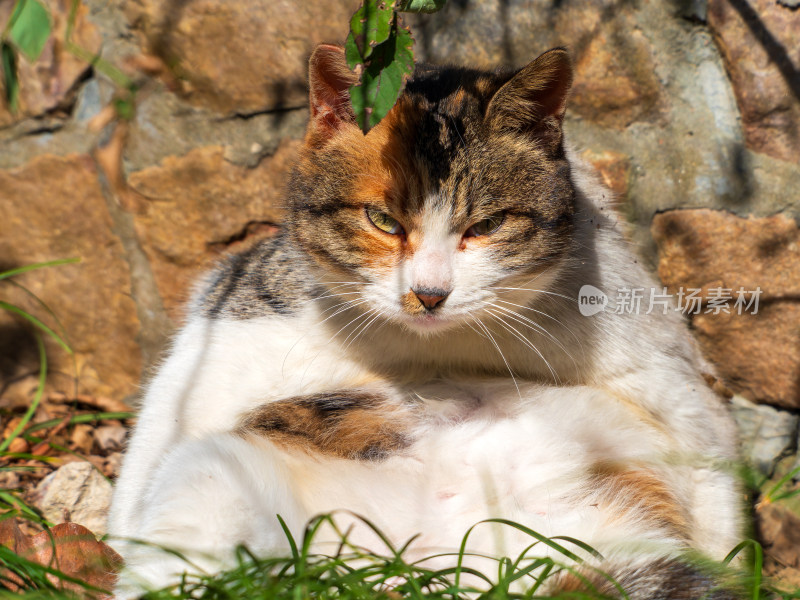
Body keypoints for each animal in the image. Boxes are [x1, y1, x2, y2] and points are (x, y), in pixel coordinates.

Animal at [108, 44, 744, 596]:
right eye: (383, 220)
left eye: (485, 226)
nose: (429, 294)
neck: (438, 344)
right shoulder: (232, 322)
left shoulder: (658, 357)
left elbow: (711, 460)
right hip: (213, 476)